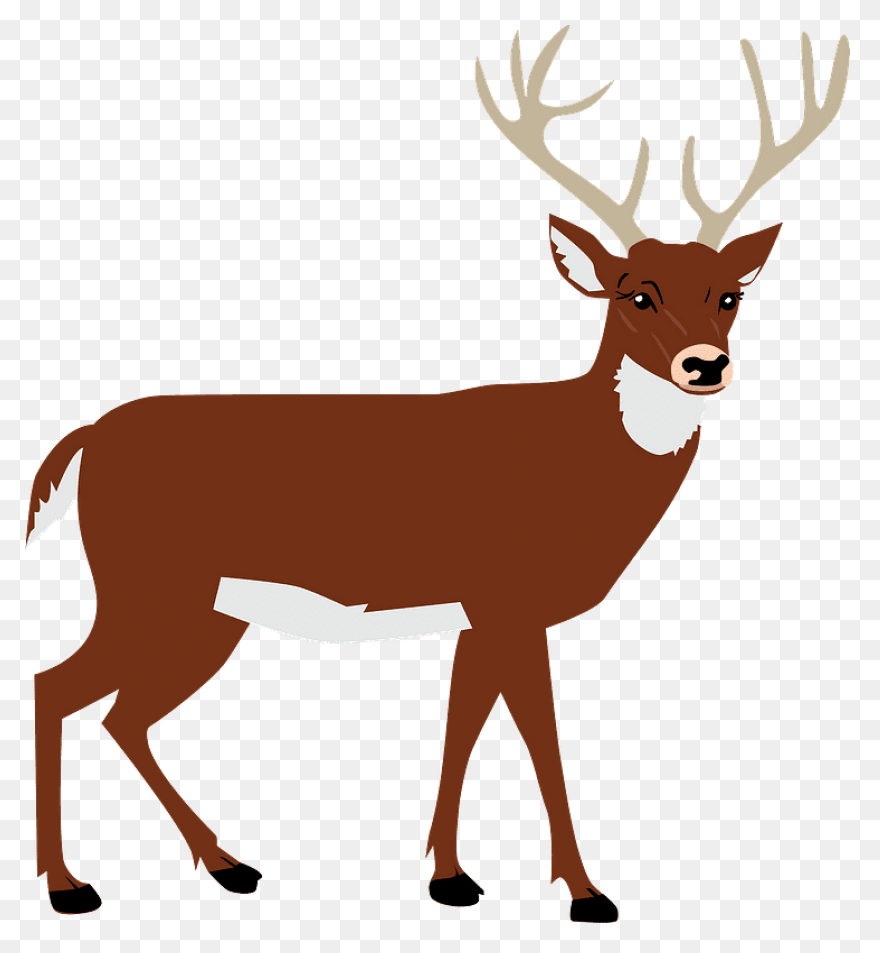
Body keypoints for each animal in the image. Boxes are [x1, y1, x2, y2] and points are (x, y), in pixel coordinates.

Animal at [26, 26, 848, 921]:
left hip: (207, 609)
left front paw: (449, 876)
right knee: (55, 686)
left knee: (120, 715)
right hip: (148, 583)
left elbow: (462, 726)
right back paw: (71, 886)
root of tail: (86, 439)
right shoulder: (509, 597)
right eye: (635, 293)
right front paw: (586, 891)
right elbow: (540, 736)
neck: (578, 463)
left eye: (730, 294)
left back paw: (228, 863)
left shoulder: (477, 612)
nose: (705, 364)